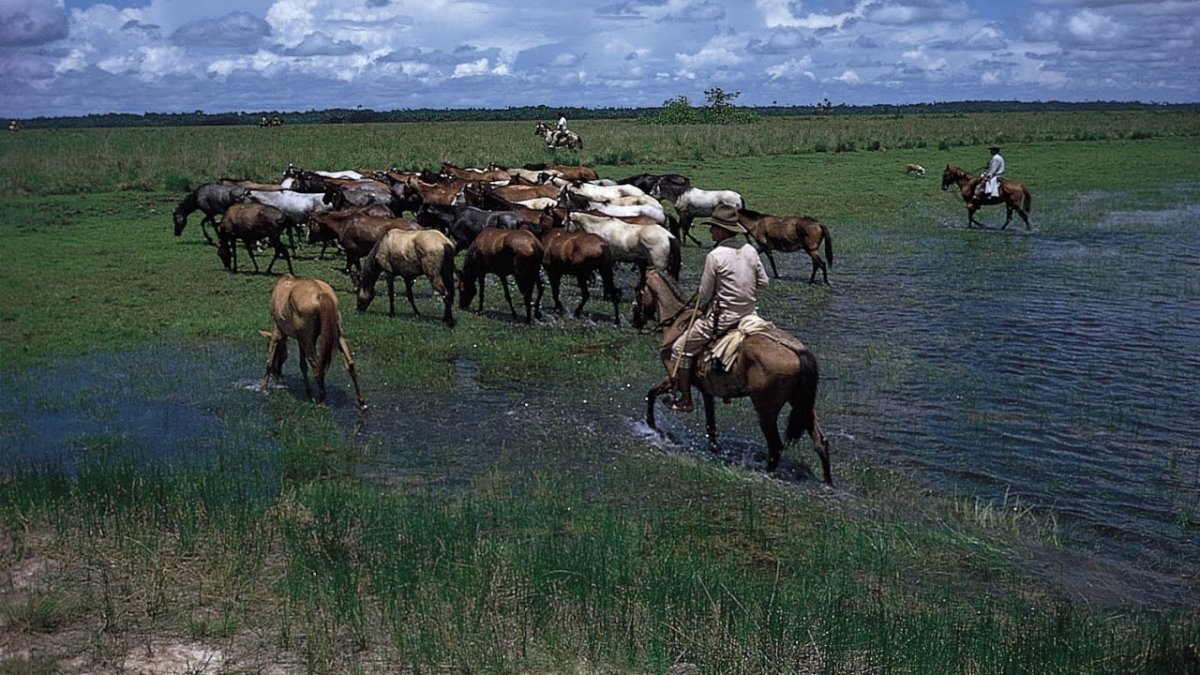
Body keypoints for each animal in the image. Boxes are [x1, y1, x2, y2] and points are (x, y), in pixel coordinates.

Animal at [256, 270, 360, 408]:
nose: (277, 373)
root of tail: (320, 294)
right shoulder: (302, 339)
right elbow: (303, 365)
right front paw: (308, 393)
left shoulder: (277, 332)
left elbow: (269, 361)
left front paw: (263, 386)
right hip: (336, 333)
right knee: (350, 363)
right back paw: (362, 402)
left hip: (307, 338)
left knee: (317, 367)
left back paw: (322, 401)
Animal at [638, 266, 835, 478]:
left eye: (637, 290)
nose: (635, 320)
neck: (677, 323)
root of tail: (798, 351)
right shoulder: (706, 390)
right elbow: (711, 425)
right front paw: (714, 449)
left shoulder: (673, 377)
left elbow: (652, 393)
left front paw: (651, 424)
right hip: (803, 405)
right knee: (820, 443)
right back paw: (827, 482)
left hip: (766, 410)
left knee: (776, 447)